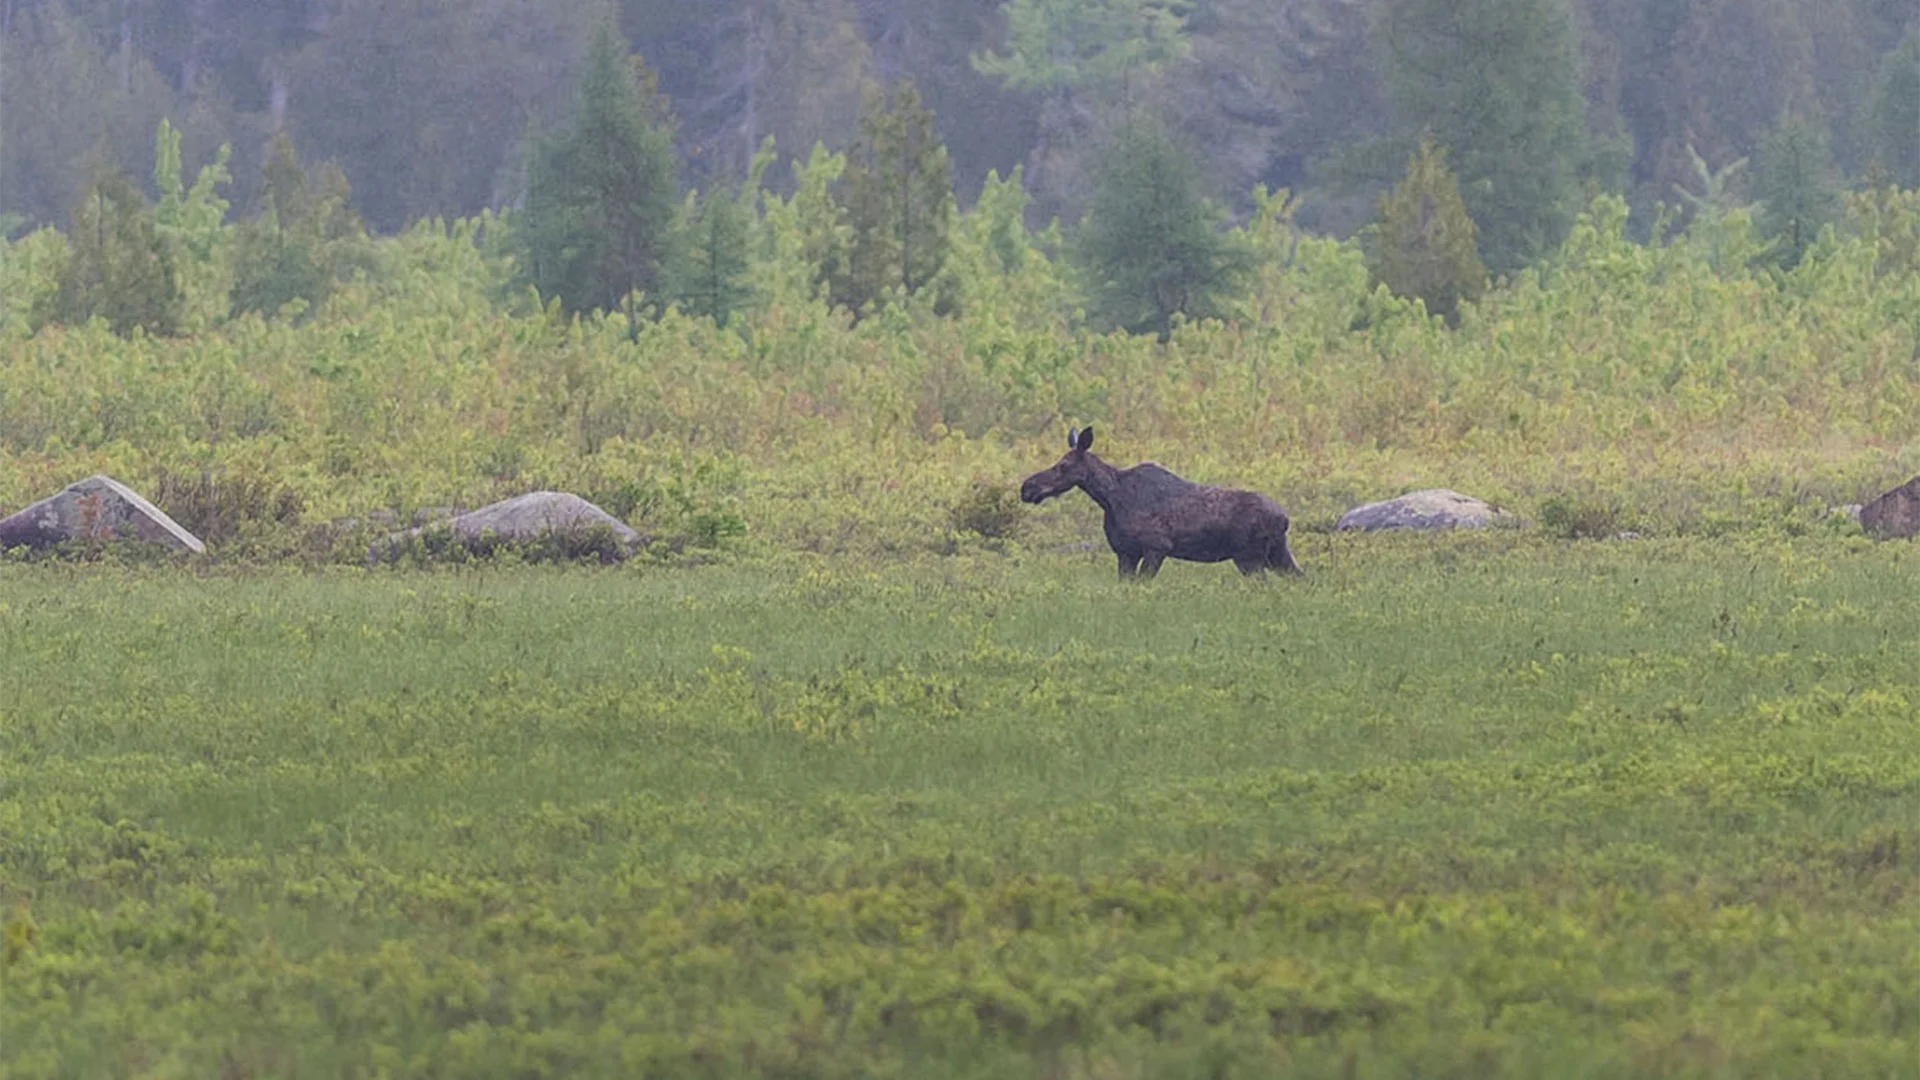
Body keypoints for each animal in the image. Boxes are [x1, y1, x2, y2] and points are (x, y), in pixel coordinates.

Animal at [1020, 427, 1301, 579]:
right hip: (1276, 553)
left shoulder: (1156, 547)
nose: (1027, 488)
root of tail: (1284, 519)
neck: (1109, 500)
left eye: (1063, 466)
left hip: (1249, 557)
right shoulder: (1126, 552)